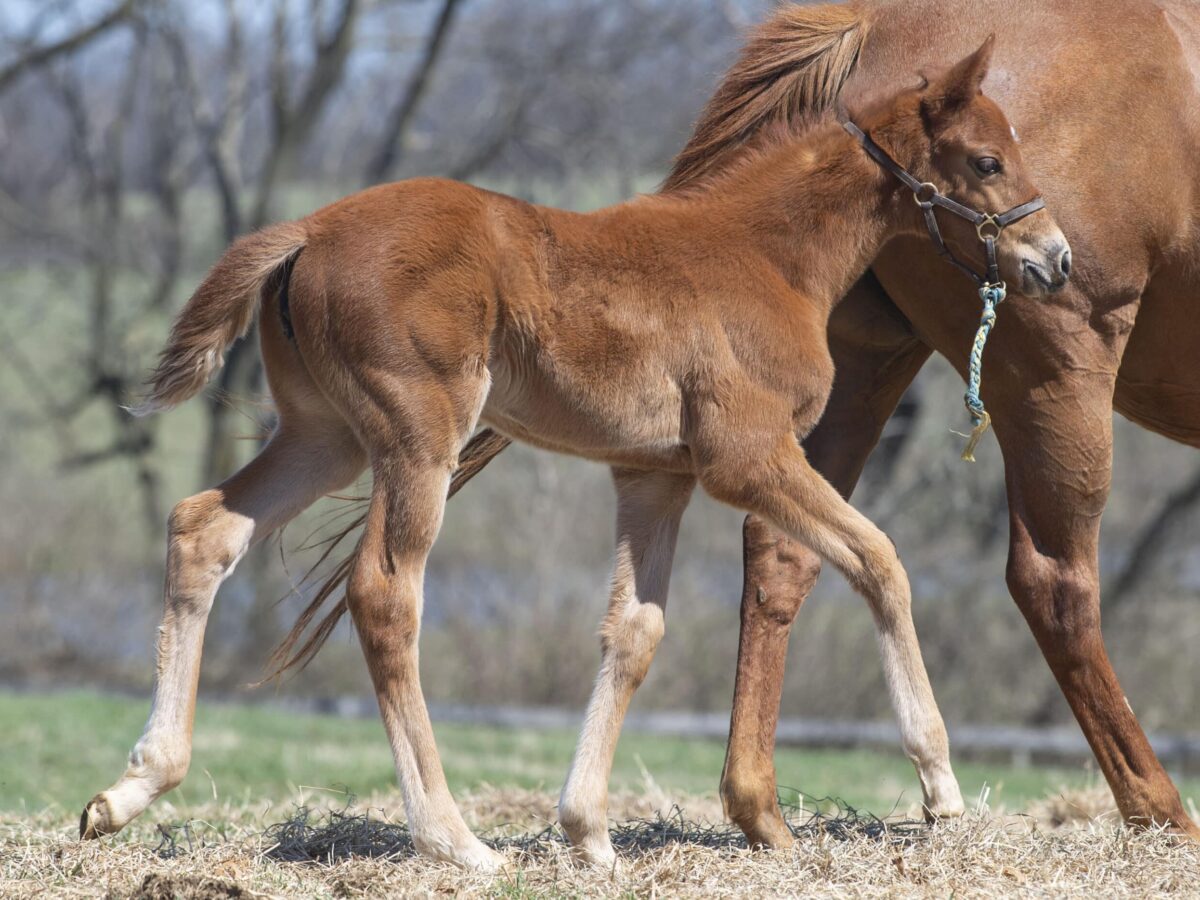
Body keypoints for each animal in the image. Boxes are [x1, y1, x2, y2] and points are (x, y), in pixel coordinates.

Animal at [82, 38, 1070, 868]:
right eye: (985, 161)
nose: (1055, 258)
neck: (767, 256)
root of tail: (308, 231)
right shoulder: (746, 458)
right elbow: (879, 559)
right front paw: (940, 788)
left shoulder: (657, 475)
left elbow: (634, 630)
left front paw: (587, 832)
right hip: (416, 438)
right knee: (385, 595)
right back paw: (453, 841)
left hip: (324, 435)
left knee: (204, 528)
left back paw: (128, 790)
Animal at [439, 0, 1200, 849]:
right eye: (986, 162)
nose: (1056, 259)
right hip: (1056, 372)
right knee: (1051, 580)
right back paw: (1159, 811)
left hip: (865, 365)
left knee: (777, 558)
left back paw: (757, 811)